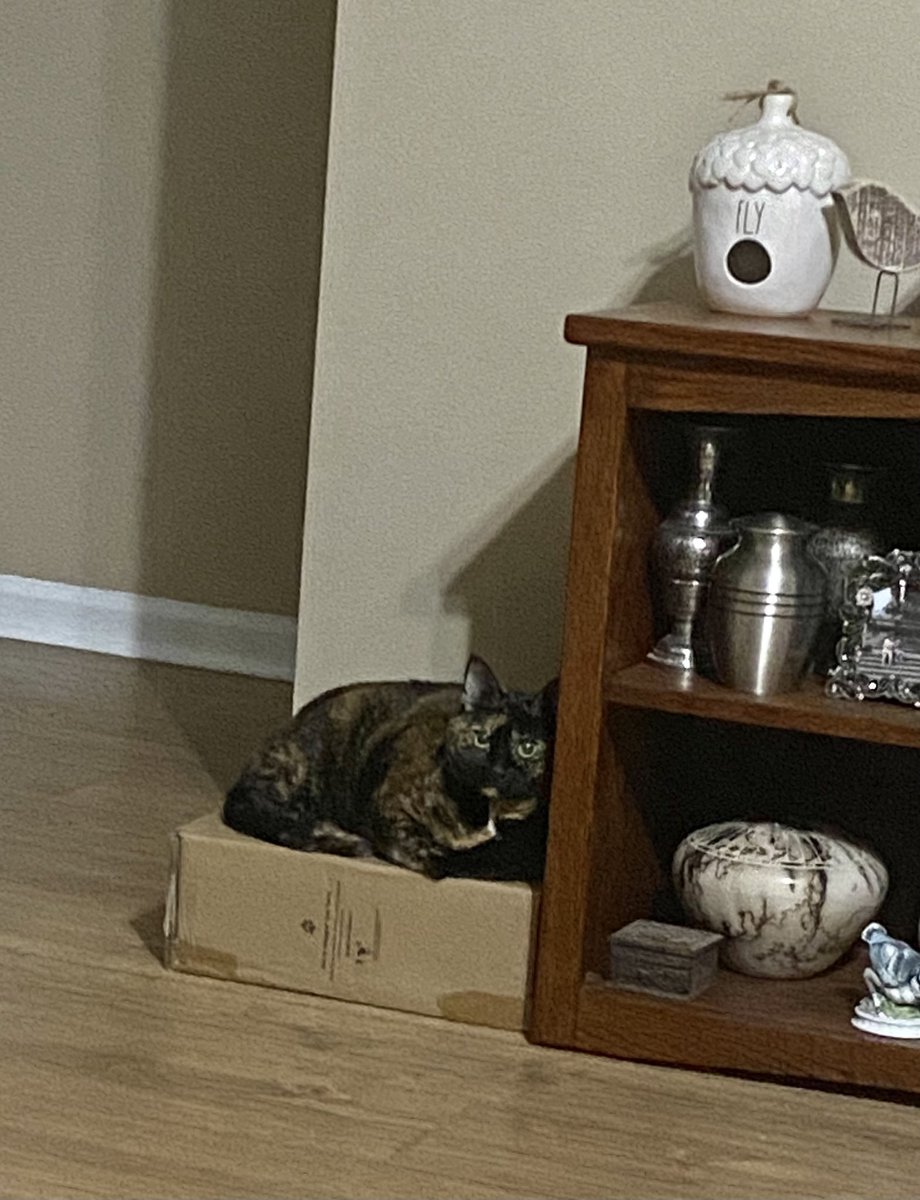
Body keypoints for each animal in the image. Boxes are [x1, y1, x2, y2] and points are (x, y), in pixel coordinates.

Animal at [224, 657, 556, 883]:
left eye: (528, 747)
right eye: (481, 738)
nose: (498, 769)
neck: (487, 811)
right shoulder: (390, 806)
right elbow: (432, 854)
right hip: (303, 770)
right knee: (253, 805)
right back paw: (336, 834)